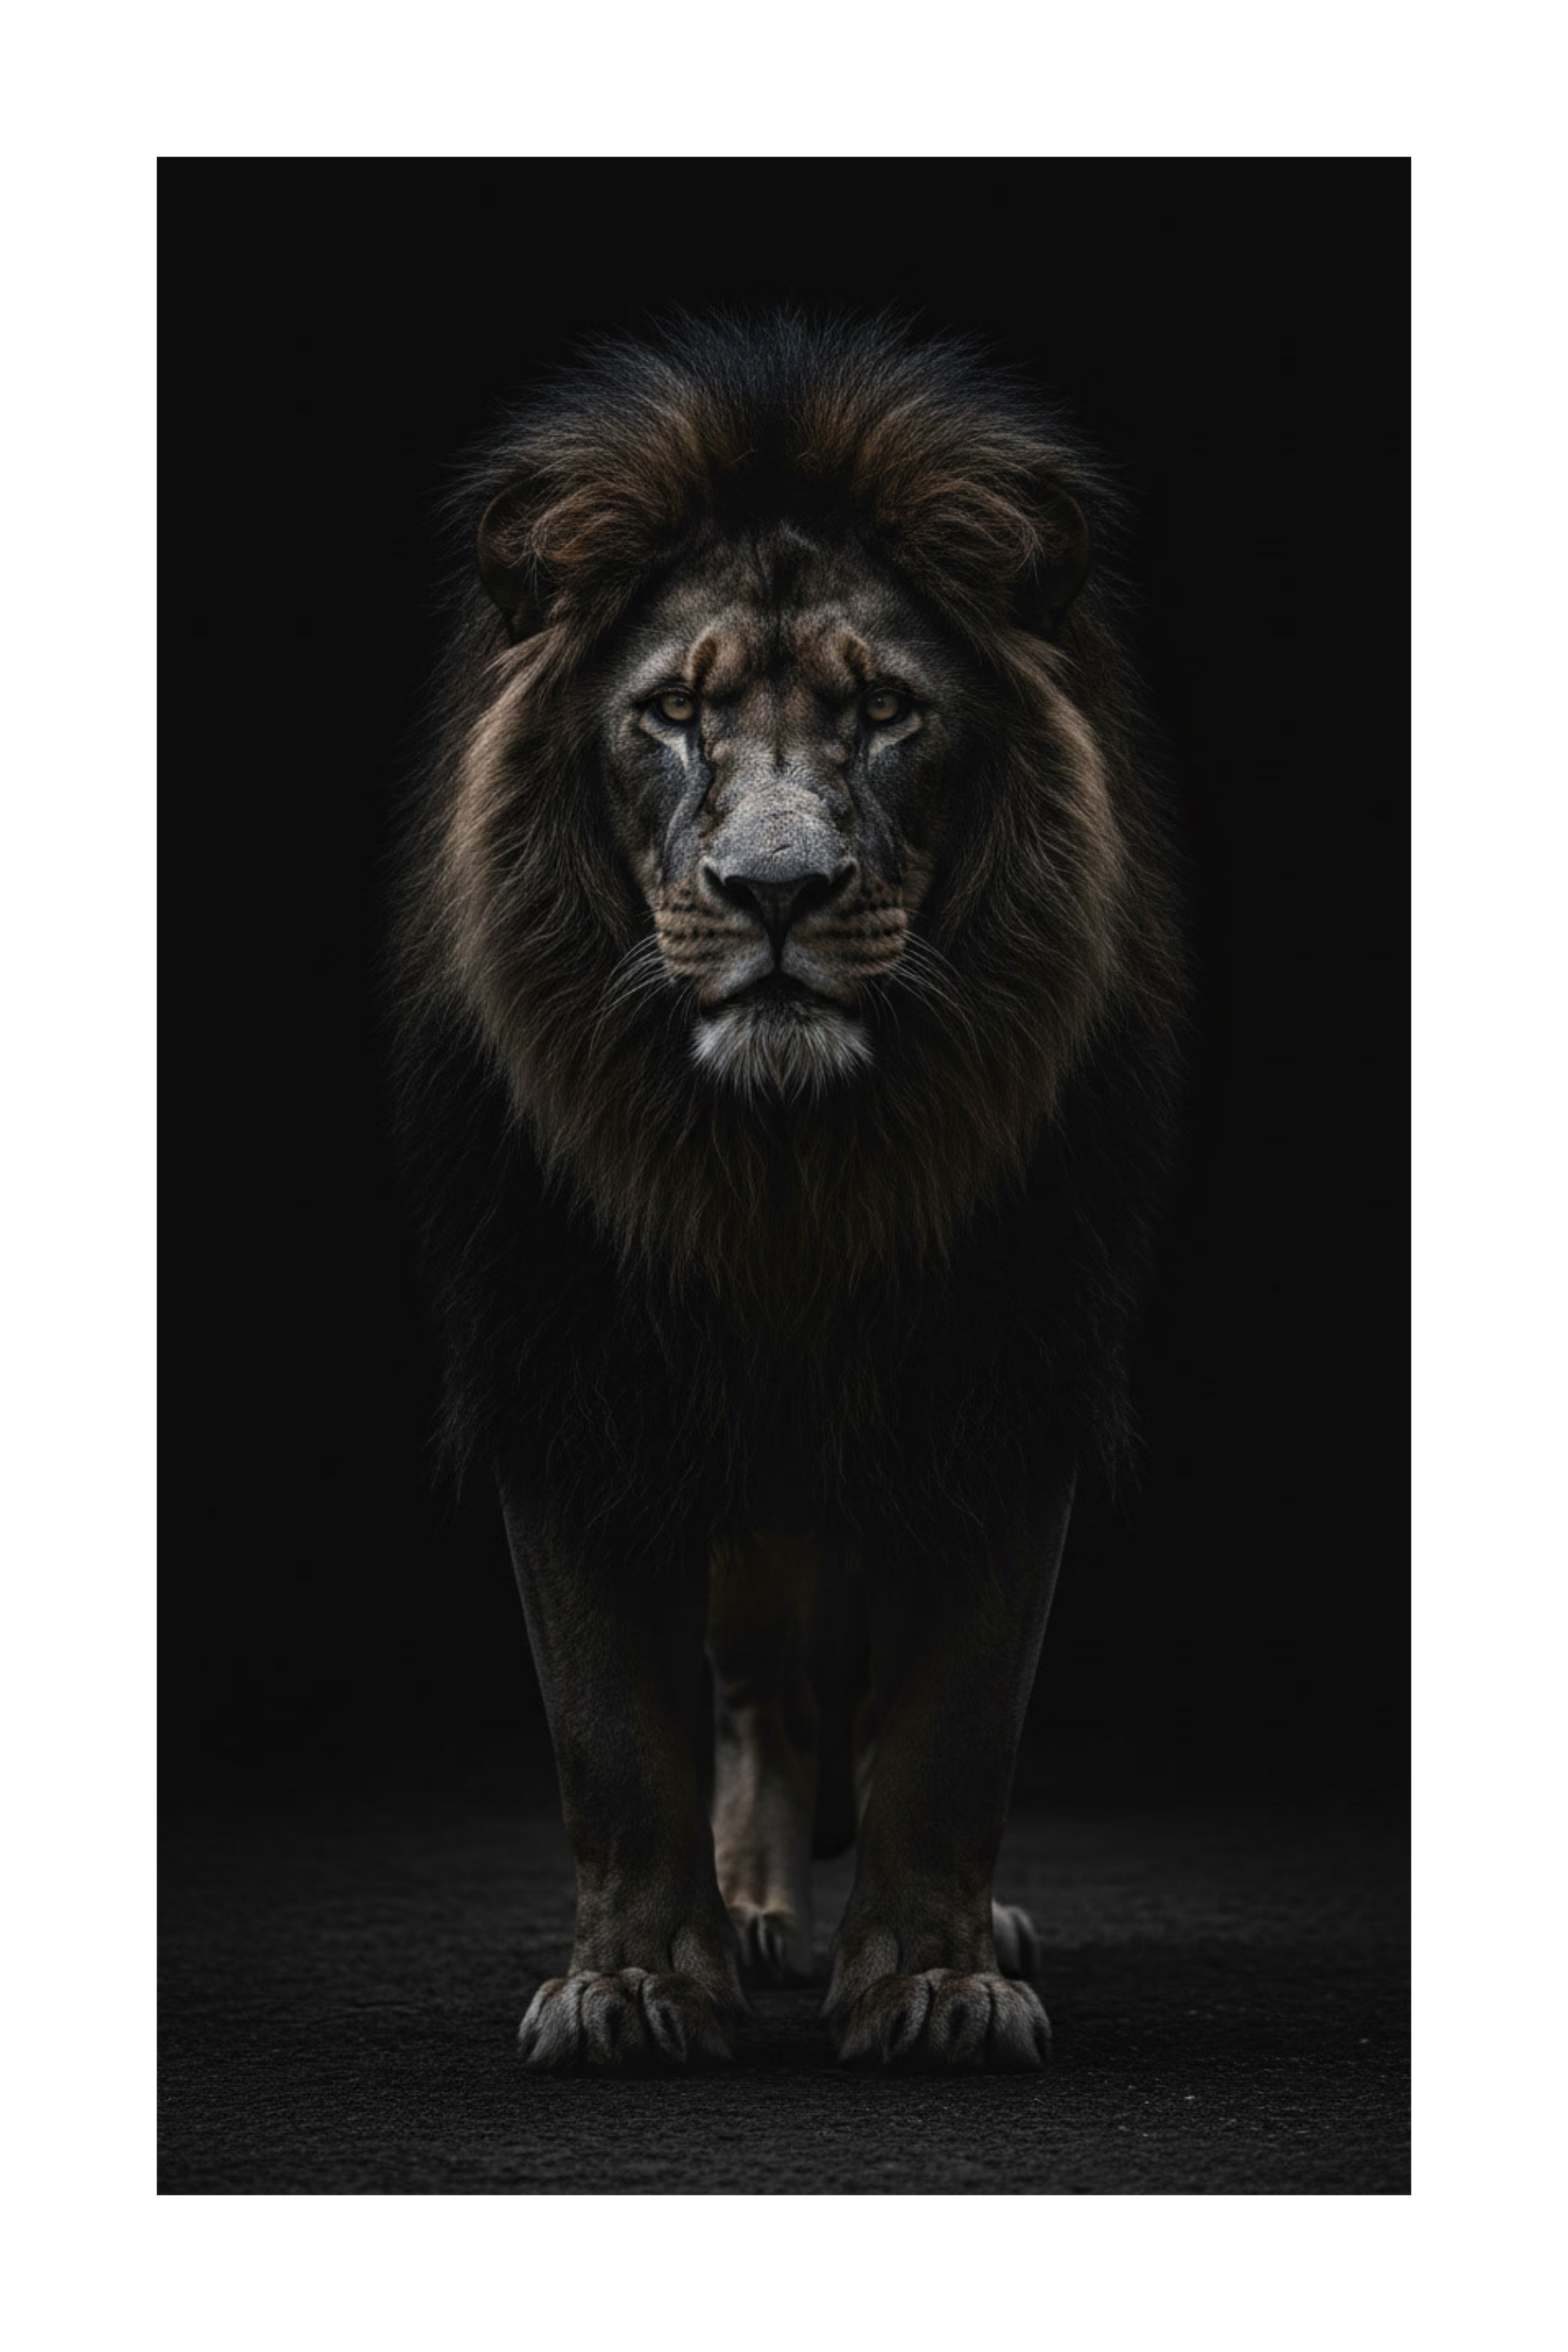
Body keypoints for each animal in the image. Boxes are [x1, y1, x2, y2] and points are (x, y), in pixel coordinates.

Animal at [392, 313, 1183, 2070]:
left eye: (885, 707)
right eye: (673, 711)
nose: (773, 892)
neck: (788, 1172)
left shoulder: (1004, 1382)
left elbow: (953, 1727)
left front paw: (933, 1981)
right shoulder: (571, 1378)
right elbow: (615, 1736)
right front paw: (632, 1986)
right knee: (762, 1693)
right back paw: (755, 1912)